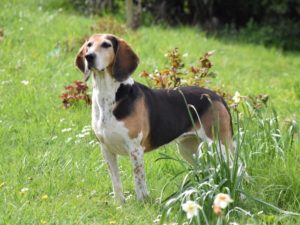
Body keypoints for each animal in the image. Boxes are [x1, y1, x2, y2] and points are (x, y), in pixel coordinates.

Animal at [75, 34, 234, 203]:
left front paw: (142, 203)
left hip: (220, 144)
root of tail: (217, 96)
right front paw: (120, 204)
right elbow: (116, 183)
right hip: (188, 148)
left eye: (106, 45)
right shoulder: (106, 149)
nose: (89, 56)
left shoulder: (135, 149)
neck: (108, 95)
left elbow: (139, 182)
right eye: (89, 45)